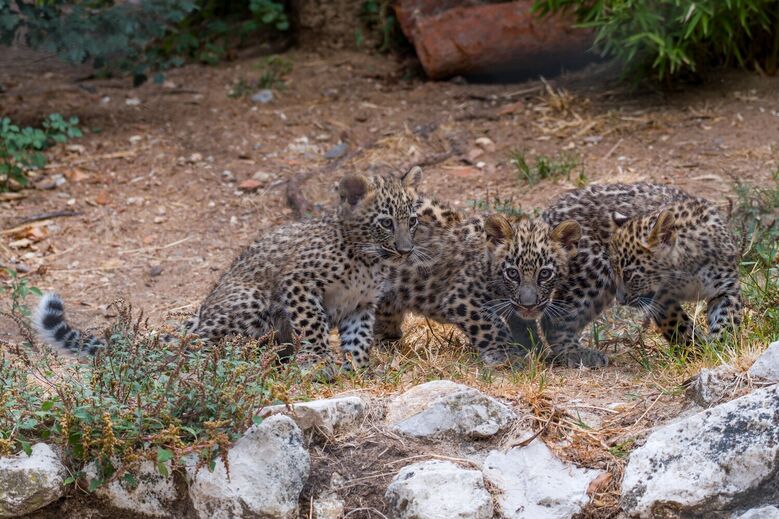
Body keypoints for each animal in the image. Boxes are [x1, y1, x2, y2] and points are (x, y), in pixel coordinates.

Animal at [34, 169, 423, 376]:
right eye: (385, 223)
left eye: (413, 221)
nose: (405, 250)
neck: (368, 261)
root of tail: (203, 310)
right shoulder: (298, 282)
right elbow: (313, 326)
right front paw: (320, 364)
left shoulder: (362, 304)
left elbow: (359, 339)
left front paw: (358, 370)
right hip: (250, 303)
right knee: (195, 344)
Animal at [375, 198, 581, 366]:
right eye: (512, 274)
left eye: (545, 274)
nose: (528, 305)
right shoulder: (462, 299)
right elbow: (490, 325)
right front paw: (506, 355)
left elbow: (522, 326)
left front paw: (537, 350)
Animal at [505, 182, 741, 367]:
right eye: (618, 271)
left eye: (629, 274)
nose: (621, 299)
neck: (688, 271)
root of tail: (548, 214)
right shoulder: (662, 298)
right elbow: (678, 323)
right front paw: (695, 349)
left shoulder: (726, 288)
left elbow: (727, 319)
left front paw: (720, 348)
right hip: (592, 273)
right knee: (554, 321)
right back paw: (580, 355)